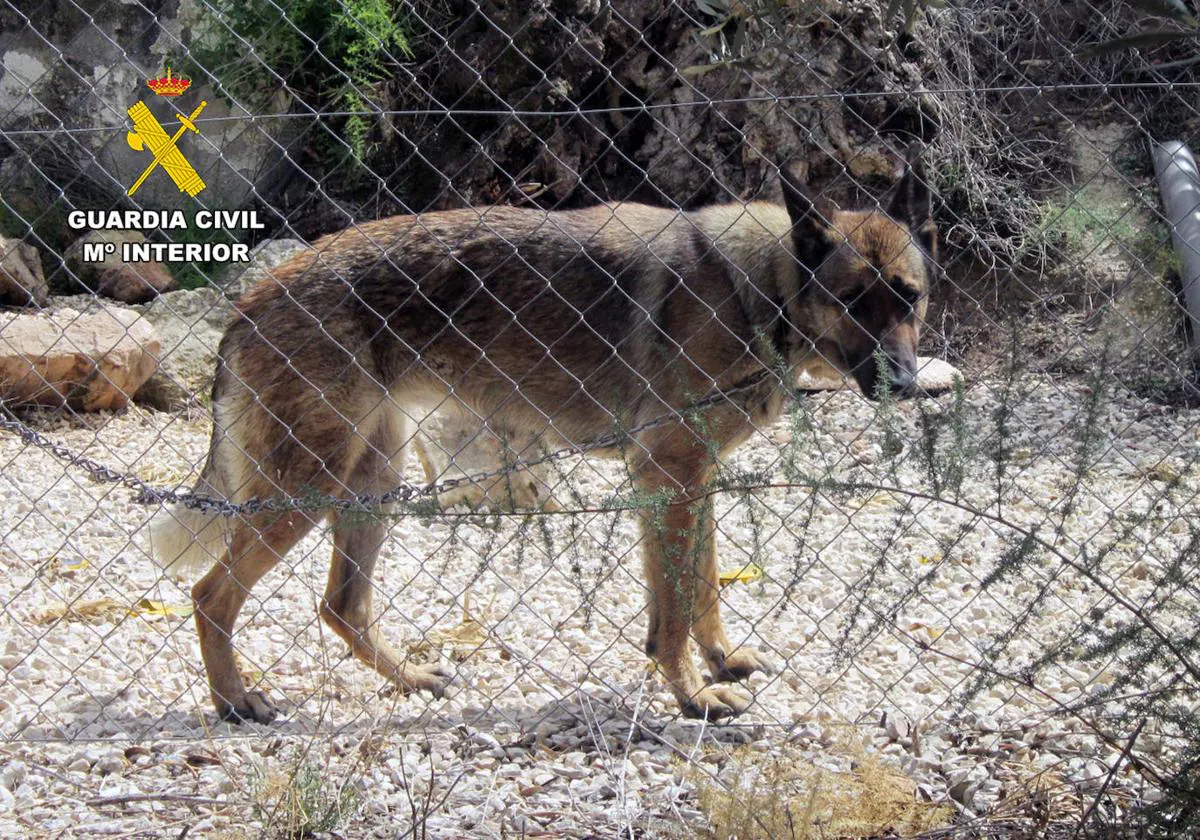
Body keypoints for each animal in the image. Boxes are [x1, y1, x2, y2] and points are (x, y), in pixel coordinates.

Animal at [150, 151, 936, 720]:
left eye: (909, 298)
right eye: (851, 301)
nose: (903, 382)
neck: (761, 289)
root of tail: (249, 300)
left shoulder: (691, 481)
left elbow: (700, 589)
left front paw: (720, 663)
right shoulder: (671, 479)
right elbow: (675, 610)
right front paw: (692, 696)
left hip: (372, 484)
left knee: (341, 607)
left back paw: (409, 679)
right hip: (304, 491)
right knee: (211, 595)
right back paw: (236, 701)